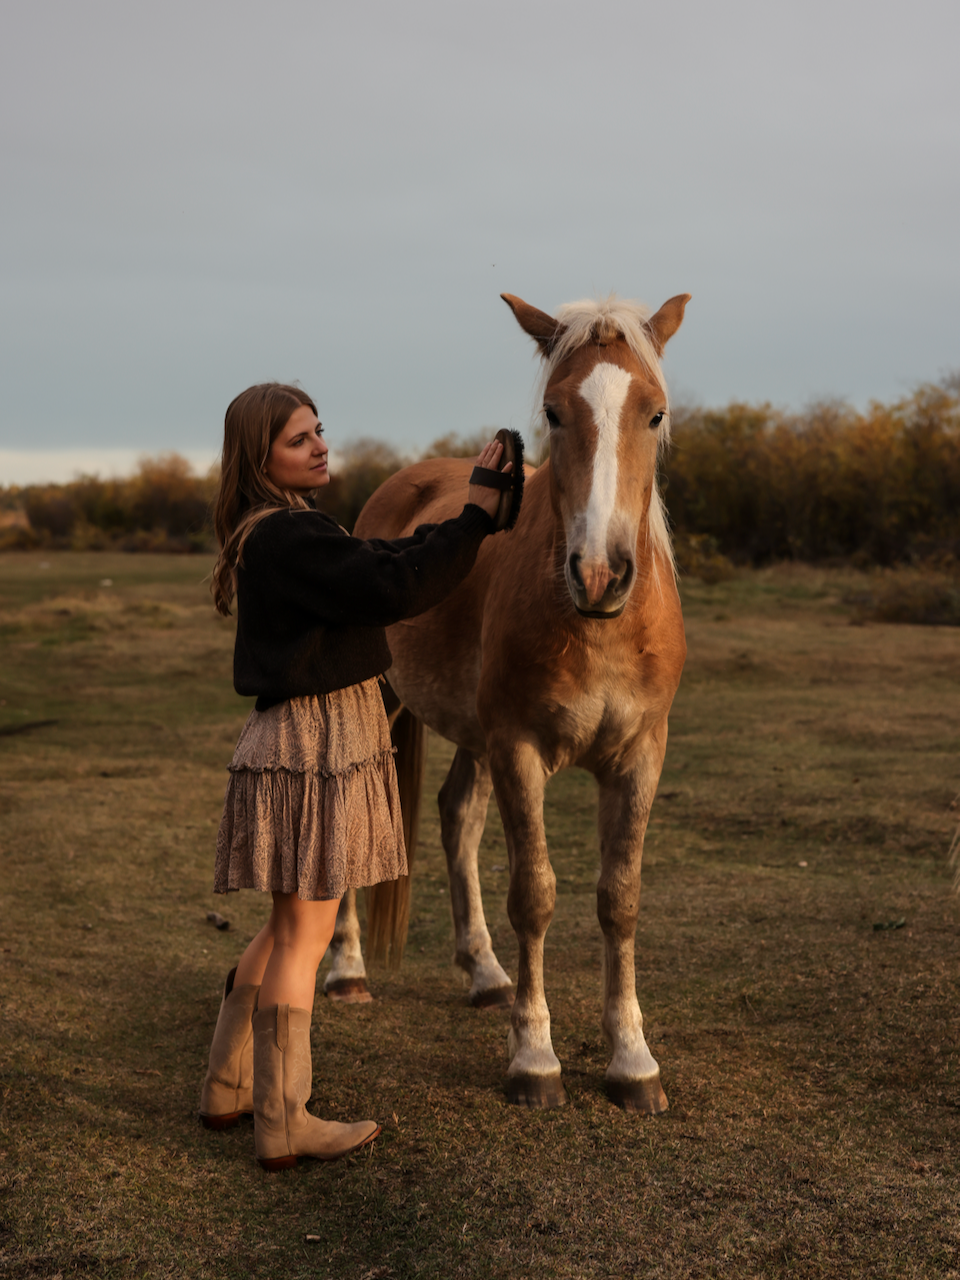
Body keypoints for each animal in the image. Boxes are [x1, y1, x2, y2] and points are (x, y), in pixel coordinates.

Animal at [325, 290, 690, 1111]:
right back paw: (347, 968)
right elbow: (535, 893)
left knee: (457, 817)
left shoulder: (640, 756)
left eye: (654, 413)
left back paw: (486, 973)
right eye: (555, 411)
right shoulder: (521, 749)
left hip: (473, 735)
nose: (599, 573)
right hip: (386, 705)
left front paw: (633, 1060)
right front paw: (534, 1058)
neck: (597, 627)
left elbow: (619, 897)